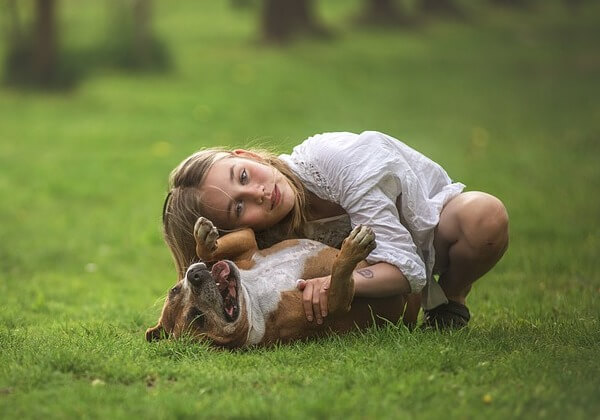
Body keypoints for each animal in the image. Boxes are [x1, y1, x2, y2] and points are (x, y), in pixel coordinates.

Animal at [145, 217, 408, 348]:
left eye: (174, 289)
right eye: (197, 318)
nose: (195, 276)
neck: (252, 295)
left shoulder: (249, 247)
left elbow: (236, 238)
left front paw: (205, 239)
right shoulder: (332, 304)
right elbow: (339, 274)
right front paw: (353, 248)